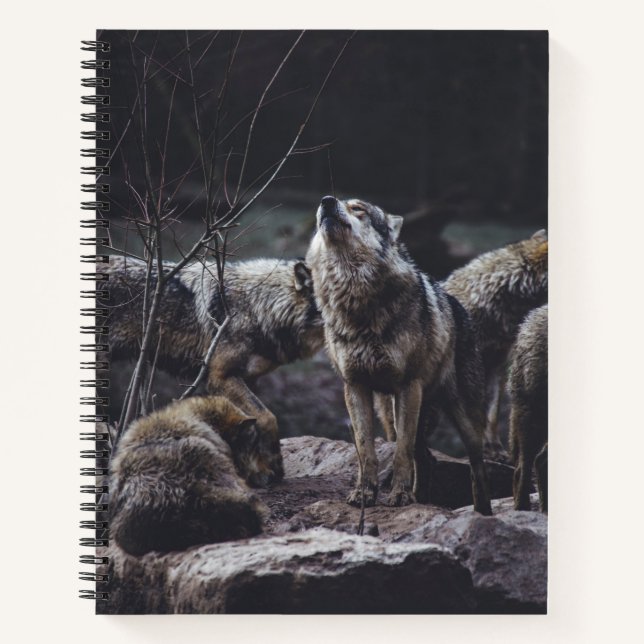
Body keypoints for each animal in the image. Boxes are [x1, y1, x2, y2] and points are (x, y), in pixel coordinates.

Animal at [104, 256, 325, 483]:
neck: (258, 306)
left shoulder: (247, 379)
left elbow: (250, 425)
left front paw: (259, 470)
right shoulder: (220, 377)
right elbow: (267, 417)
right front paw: (274, 465)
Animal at [306, 196, 492, 513]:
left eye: (358, 208)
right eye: (329, 203)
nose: (326, 201)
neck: (355, 299)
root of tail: (458, 306)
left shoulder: (407, 386)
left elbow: (401, 453)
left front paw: (400, 496)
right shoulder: (354, 386)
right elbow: (365, 450)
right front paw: (364, 494)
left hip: (462, 417)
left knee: (476, 467)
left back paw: (483, 513)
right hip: (392, 412)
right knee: (426, 458)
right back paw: (422, 499)